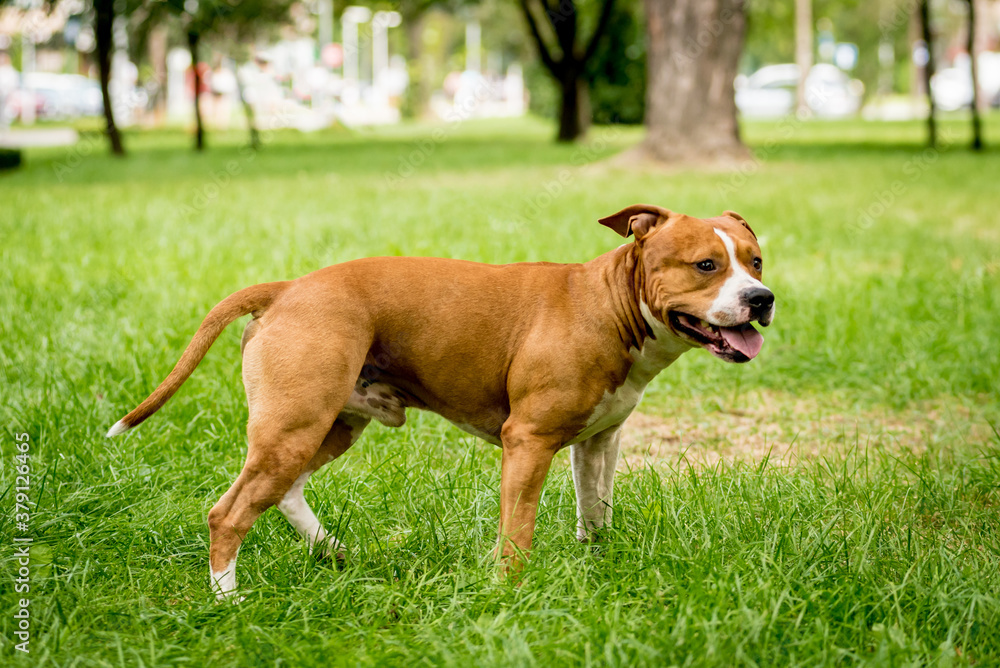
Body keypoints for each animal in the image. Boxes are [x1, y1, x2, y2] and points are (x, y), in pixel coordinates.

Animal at [105, 205, 772, 600]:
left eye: (757, 261)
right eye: (705, 265)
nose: (761, 298)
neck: (611, 303)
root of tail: (289, 288)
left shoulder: (598, 442)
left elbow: (595, 512)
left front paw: (596, 569)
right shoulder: (528, 443)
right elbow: (518, 530)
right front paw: (509, 594)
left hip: (327, 426)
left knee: (284, 490)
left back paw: (330, 551)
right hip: (295, 425)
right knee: (230, 512)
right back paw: (231, 598)